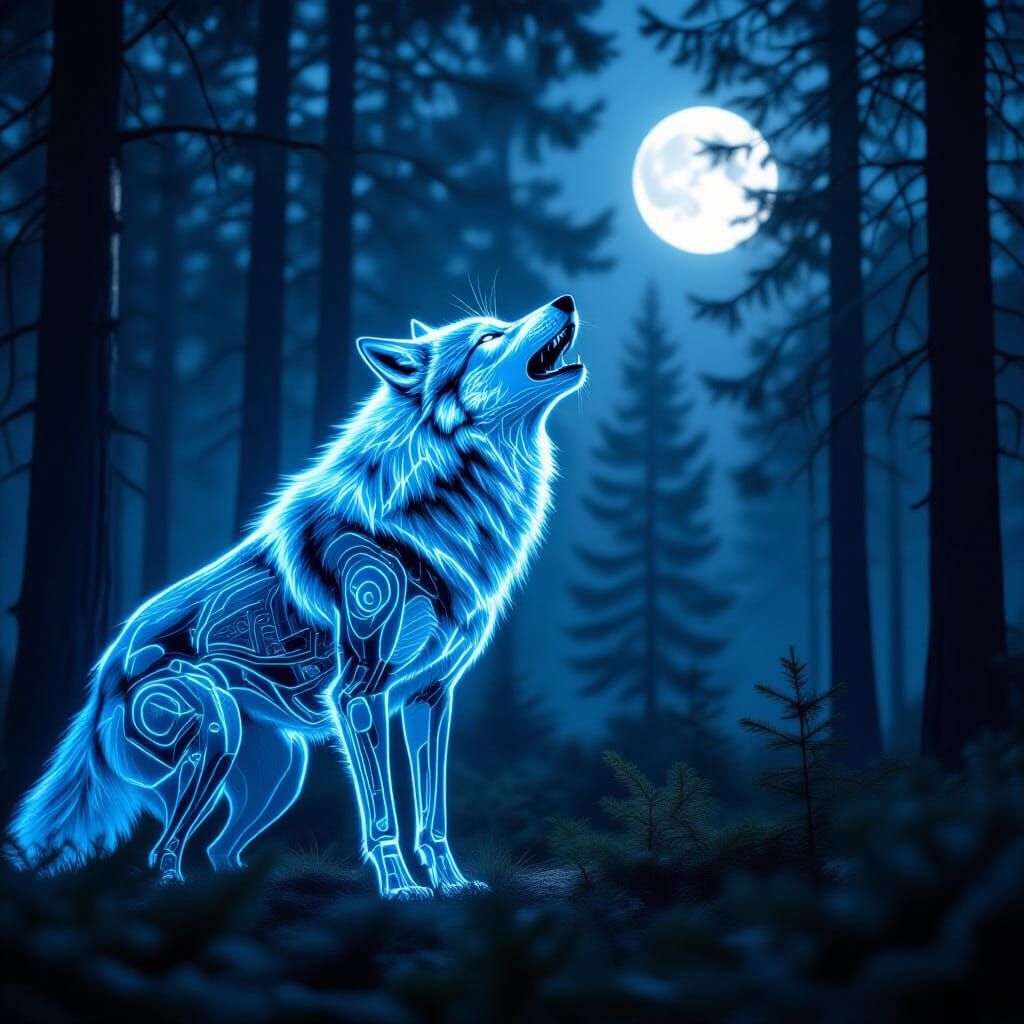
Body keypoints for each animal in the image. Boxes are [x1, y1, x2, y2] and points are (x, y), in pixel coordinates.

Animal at [8, 294, 585, 898]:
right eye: (488, 338)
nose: (565, 301)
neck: (432, 505)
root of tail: (104, 672)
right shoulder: (358, 696)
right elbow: (383, 813)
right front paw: (399, 888)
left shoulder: (429, 699)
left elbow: (433, 814)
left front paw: (451, 883)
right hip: (218, 737)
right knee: (164, 849)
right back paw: (180, 891)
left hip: (282, 776)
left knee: (217, 848)